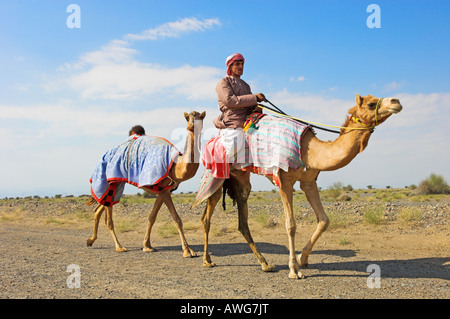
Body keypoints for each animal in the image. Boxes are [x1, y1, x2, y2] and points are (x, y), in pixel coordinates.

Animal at [86, 111, 206, 258]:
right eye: (187, 117)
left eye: (200, 117)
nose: (192, 124)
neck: (175, 166)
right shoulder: (164, 190)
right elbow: (177, 218)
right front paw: (187, 250)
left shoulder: (164, 190)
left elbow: (152, 217)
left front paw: (147, 246)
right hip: (112, 182)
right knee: (108, 218)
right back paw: (119, 246)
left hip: (114, 187)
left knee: (98, 209)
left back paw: (90, 240)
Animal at [200, 95, 400, 280]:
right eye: (371, 104)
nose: (396, 101)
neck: (309, 149)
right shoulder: (283, 180)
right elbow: (291, 225)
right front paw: (293, 270)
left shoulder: (309, 181)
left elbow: (324, 220)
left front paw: (302, 259)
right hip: (216, 176)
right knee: (207, 218)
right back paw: (207, 260)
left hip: (241, 179)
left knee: (242, 222)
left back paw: (265, 264)